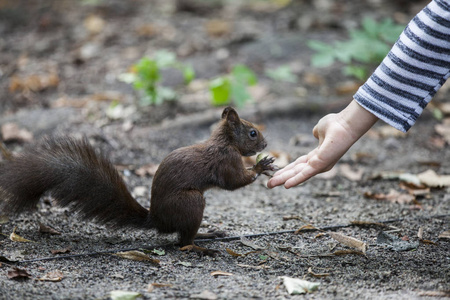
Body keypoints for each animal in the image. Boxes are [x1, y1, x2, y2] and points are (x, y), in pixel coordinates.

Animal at [0, 107, 274, 255]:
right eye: (252, 133)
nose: (265, 144)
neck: (225, 141)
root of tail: (157, 220)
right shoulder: (225, 160)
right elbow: (233, 182)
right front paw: (260, 166)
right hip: (191, 201)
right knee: (182, 242)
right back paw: (201, 248)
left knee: (183, 236)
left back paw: (208, 234)